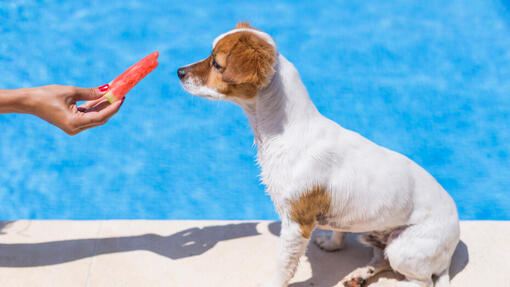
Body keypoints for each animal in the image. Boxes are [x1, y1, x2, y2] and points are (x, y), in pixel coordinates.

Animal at [177, 23, 460, 287]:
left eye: (216, 63)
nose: (179, 72)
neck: (280, 133)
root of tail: (451, 251)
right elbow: (339, 232)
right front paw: (332, 244)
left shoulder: (296, 224)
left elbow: (284, 265)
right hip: (373, 234)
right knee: (381, 258)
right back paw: (360, 274)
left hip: (405, 248)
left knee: (420, 280)